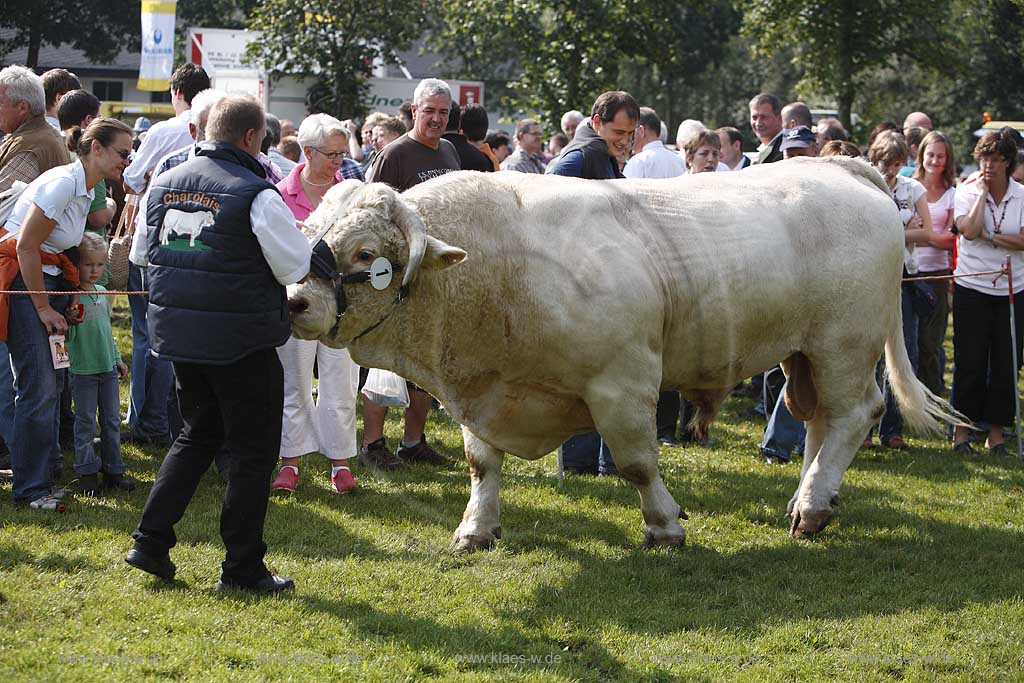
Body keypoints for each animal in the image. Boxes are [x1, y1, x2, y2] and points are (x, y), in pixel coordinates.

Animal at [286, 158, 950, 548]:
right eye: (310, 229)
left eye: (366, 254)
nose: (293, 301)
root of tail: (842, 166)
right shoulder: (482, 393)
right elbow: (481, 463)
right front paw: (477, 528)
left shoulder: (622, 382)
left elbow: (635, 462)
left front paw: (664, 525)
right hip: (804, 350)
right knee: (817, 419)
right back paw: (812, 498)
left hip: (845, 342)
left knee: (854, 414)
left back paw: (811, 505)